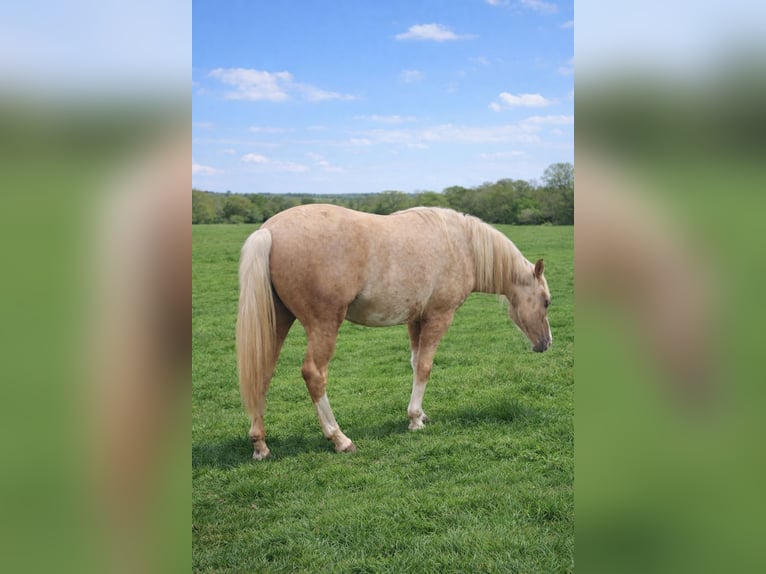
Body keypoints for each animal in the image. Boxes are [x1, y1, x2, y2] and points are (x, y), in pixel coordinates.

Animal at [236, 204, 552, 459]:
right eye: (547, 301)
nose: (546, 343)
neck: (464, 246)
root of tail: (269, 231)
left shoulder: (416, 320)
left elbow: (414, 364)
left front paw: (420, 415)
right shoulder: (439, 317)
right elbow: (425, 366)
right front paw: (414, 420)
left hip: (277, 321)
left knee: (261, 373)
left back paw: (260, 445)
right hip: (323, 324)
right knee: (314, 374)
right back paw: (339, 438)